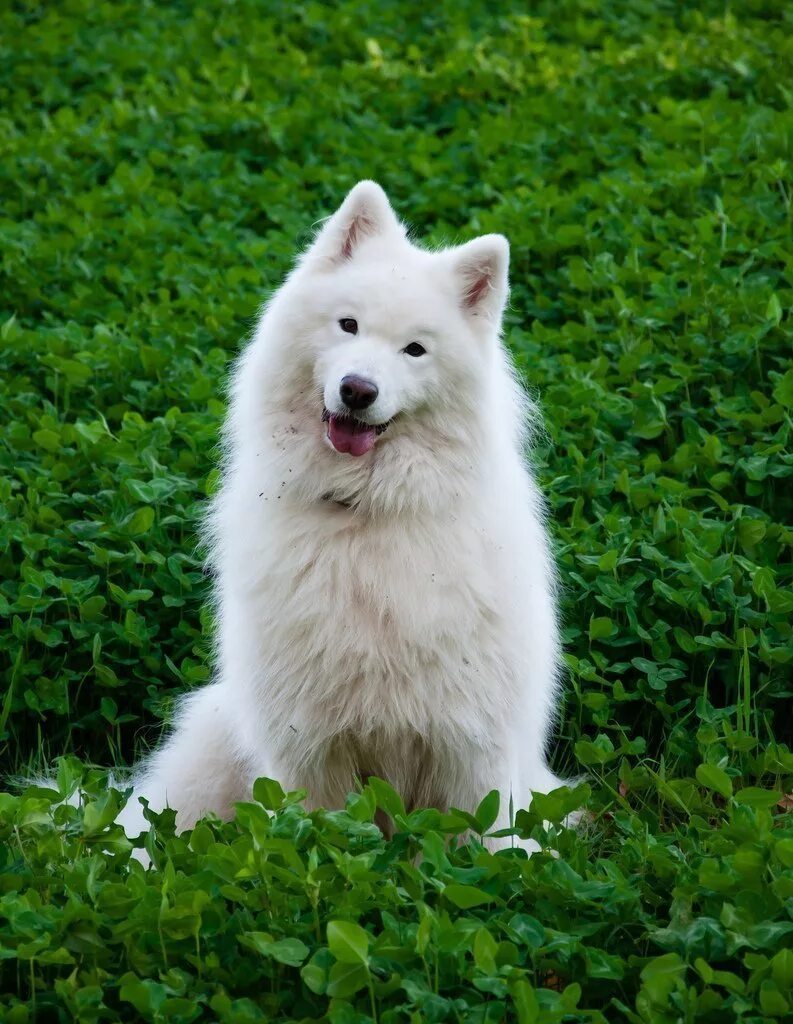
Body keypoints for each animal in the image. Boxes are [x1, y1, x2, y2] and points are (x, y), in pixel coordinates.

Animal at [116, 180, 565, 843]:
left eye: (415, 350)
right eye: (348, 325)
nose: (358, 389)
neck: (364, 512)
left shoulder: (471, 745)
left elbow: (481, 838)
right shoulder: (308, 747)